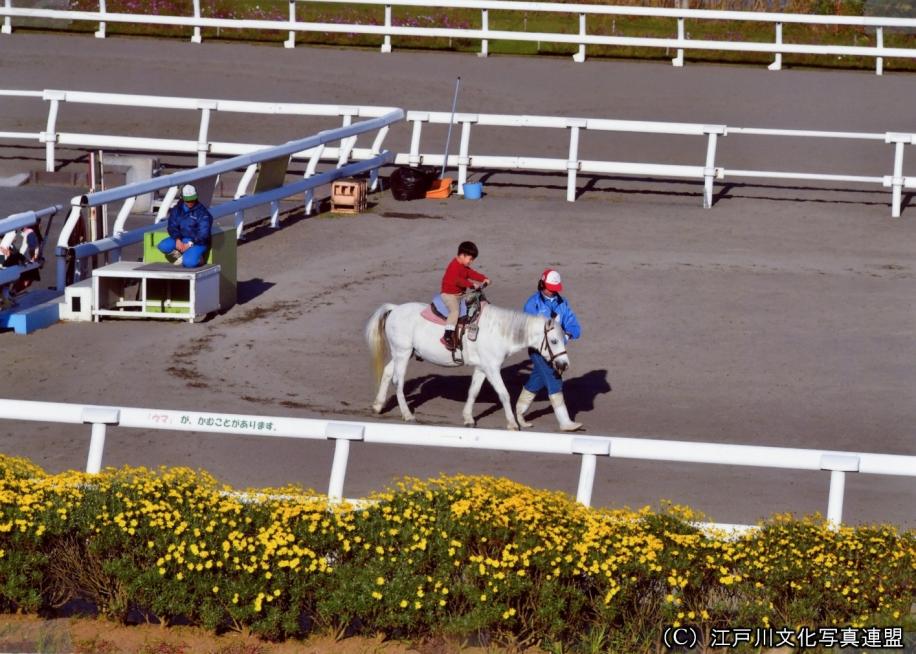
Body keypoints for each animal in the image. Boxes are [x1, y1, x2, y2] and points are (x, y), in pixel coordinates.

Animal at [366, 296, 572, 430]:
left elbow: (473, 392)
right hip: (402, 353)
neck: (498, 331)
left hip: (402, 354)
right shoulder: (492, 368)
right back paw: (408, 415)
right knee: (398, 382)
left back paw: (378, 406)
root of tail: (395, 309)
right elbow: (504, 394)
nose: (564, 364)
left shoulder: (481, 368)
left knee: (387, 373)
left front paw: (468, 418)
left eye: (565, 338)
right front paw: (512, 423)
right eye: (554, 341)